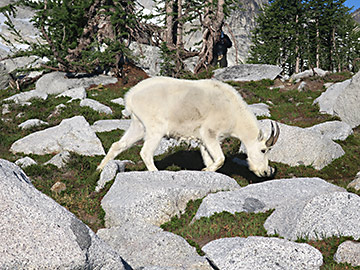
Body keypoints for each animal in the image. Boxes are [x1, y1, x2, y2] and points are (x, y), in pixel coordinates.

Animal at [97, 76, 280, 177]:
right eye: (263, 150)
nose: (265, 172)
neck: (235, 114)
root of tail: (130, 96)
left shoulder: (205, 140)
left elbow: (210, 158)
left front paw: (207, 170)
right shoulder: (209, 133)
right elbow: (220, 159)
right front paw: (205, 171)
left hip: (138, 125)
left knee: (118, 145)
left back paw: (99, 169)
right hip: (156, 128)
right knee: (146, 152)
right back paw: (156, 173)